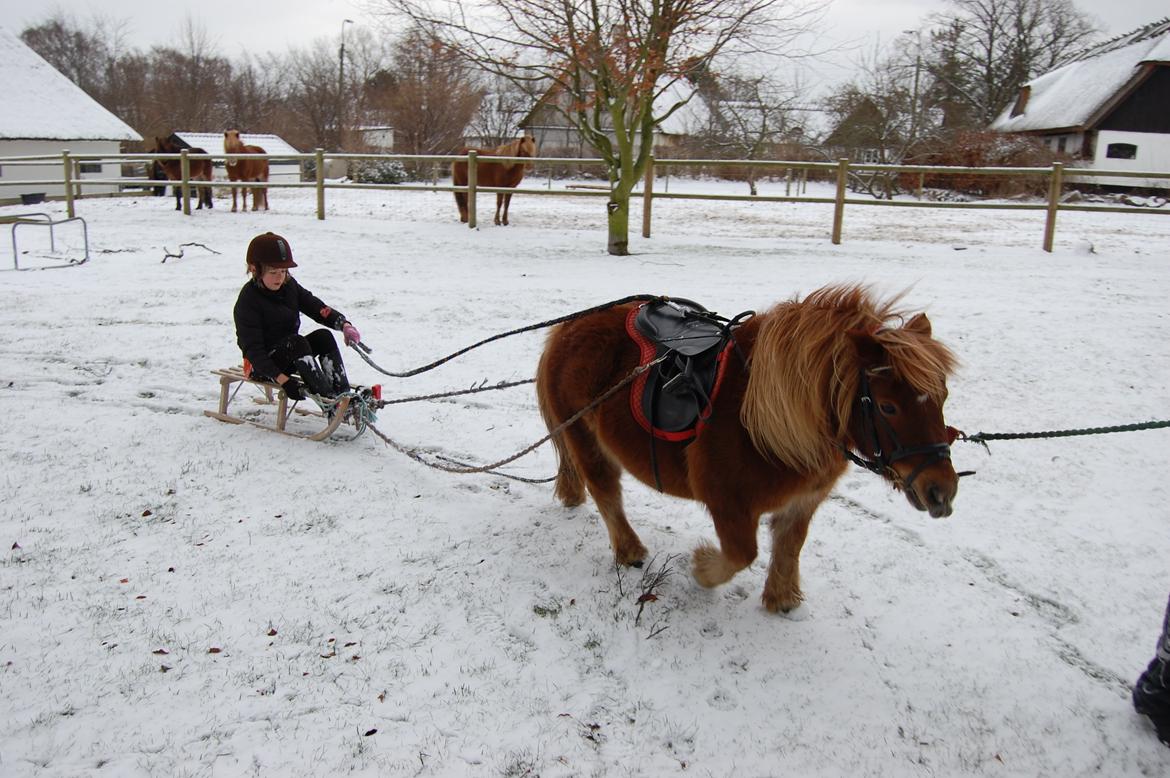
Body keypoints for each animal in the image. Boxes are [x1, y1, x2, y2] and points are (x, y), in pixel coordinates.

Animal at [538, 284, 959, 613]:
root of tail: (568, 328)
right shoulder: (729, 504)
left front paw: (781, 598)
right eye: (888, 407)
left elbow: (790, 546)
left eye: (942, 396)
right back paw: (630, 550)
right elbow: (742, 554)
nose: (942, 491)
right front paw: (702, 568)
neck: (765, 420)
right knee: (606, 492)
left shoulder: (803, 502)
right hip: (586, 439)